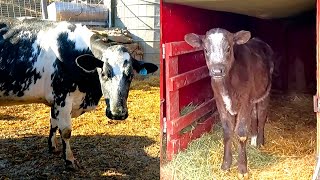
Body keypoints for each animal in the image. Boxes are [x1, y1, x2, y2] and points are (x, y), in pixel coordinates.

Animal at [0, 17, 158, 169]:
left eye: (130, 75)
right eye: (104, 73)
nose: (117, 113)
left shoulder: (55, 101)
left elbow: (53, 123)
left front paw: (53, 147)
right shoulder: (62, 98)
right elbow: (65, 131)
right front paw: (69, 160)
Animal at [185, 28, 272, 177]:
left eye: (228, 48)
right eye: (206, 50)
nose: (217, 71)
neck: (227, 85)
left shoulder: (245, 101)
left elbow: (241, 133)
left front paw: (242, 168)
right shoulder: (220, 102)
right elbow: (227, 132)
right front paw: (225, 165)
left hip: (265, 93)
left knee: (261, 117)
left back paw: (260, 142)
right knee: (254, 116)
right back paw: (253, 139)